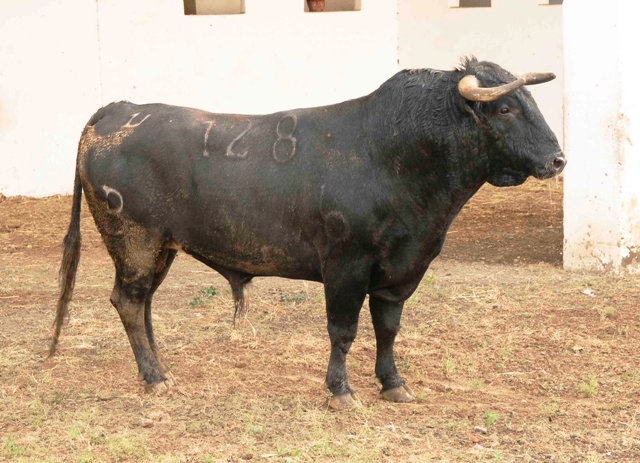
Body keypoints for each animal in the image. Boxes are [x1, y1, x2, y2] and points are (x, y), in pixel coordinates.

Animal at [52, 58, 568, 410]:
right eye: (505, 108)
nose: (558, 160)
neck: (397, 155)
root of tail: (120, 109)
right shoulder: (345, 264)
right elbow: (343, 330)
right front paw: (340, 391)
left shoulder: (401, 269)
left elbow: (388, 328)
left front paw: (393, 384)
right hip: (134, 241)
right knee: (129, 302)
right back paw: (154, 377)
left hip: (161, 248)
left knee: (142, 305)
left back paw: (160, 369)